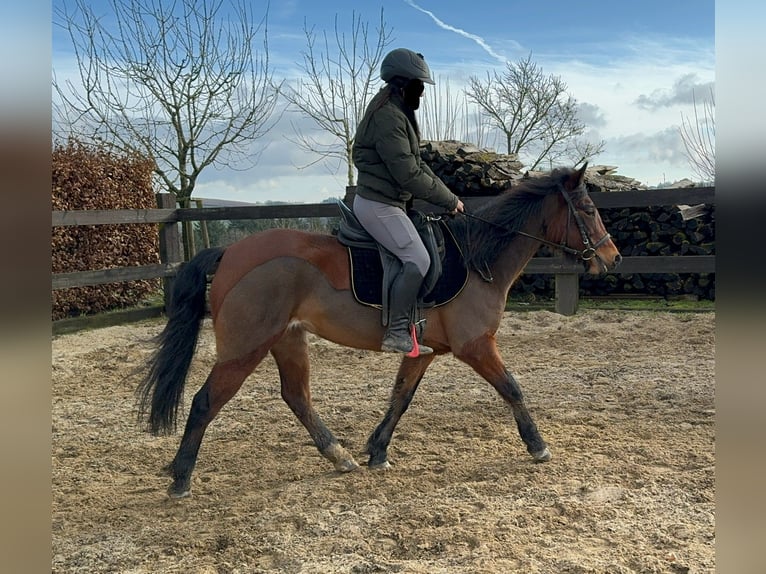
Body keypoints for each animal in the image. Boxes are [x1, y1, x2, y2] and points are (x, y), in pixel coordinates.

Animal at [138, 163, 624, 500]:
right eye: (588, 209)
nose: (613, 258)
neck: (476, 257)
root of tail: (231, 252)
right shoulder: (476, 346)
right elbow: (512, 389)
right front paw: (538, 446)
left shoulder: (424, 351)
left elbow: (400, 399)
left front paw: (377, 451)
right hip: (246, 347)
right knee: (206, 402)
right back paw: (181, 478)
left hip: (288, 340)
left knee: (297, 397)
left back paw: (340, 456)